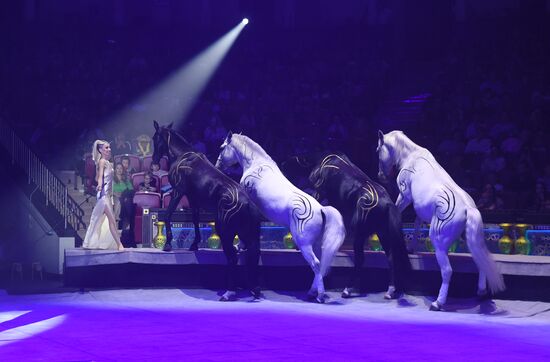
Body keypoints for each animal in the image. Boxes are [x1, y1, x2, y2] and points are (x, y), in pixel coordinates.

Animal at [150, 121, 264, 300]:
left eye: (155, 138)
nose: (154, 162)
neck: (184, 156)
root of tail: (246, 202)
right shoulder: (192, 198)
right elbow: (195, 219)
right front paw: (194, 244)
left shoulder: (178, 192)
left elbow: (168, 215)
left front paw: (167, 244)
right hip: (247, 232)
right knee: (253, 254)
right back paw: (254, 289)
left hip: (225, 230)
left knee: (233, 258)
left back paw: (229, 292)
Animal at [216, 133, 344, 302]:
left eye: (222, 147)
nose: (217, 165)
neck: (256, 165)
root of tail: (322, 209)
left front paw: (238, 246)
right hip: (315, 243)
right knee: (320, 265)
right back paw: (312, 292)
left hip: (304, 244)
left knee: (316, 264)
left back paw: (319, 296)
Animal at [292, 151, 412, 298]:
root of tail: (388, 203)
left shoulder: (319, 193)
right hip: (383, 234)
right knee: (391, 258)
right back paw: (390, 290)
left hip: (360, 234)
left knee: (361, 260)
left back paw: (347, 290)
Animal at [378, 130, 506, 312]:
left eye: (378, 150)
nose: (380, 176)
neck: (411, 156)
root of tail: (469, 209)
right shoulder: (420, 209)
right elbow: (416, 225)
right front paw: (411, 248)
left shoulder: (405, 196)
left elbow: (399, 210)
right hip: (470, 239)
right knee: (481, 260)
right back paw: (481, 292)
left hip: (438, 241)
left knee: (447, 271)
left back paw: (438, 302)